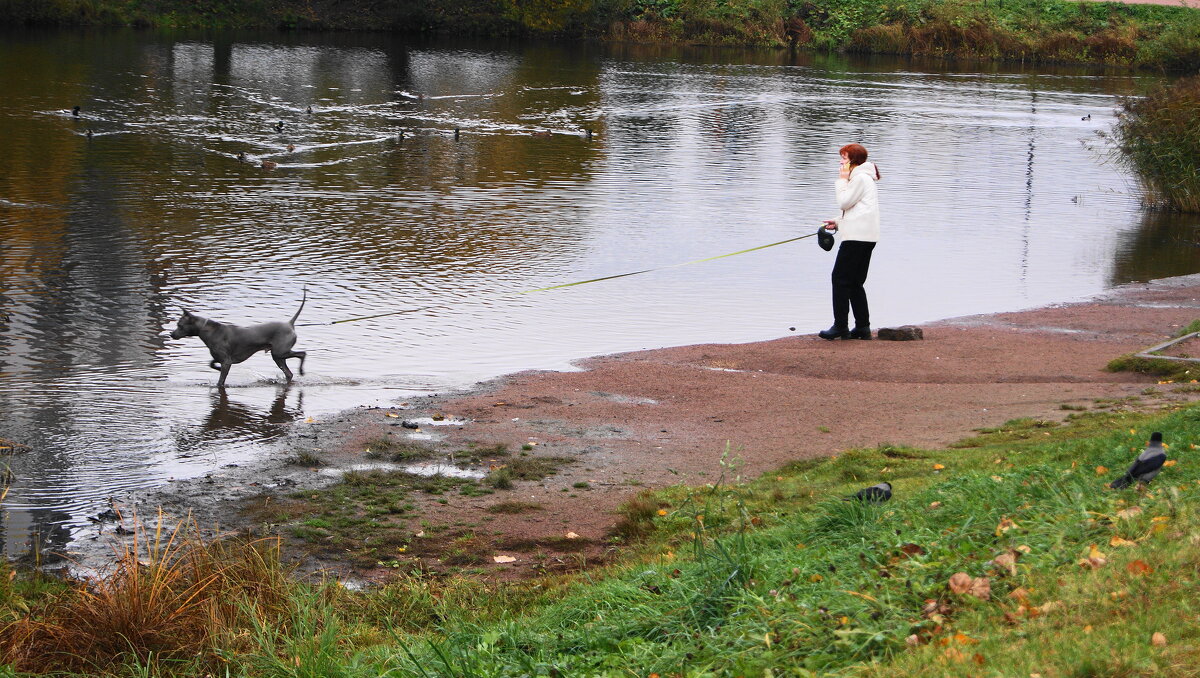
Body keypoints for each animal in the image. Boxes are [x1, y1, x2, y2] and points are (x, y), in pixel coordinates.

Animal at [170, 289, 309, 388]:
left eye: (179, 325)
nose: (171, 334)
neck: (209, 331)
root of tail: (290, 323)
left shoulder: (226, 361)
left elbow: (220, 381)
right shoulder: (221, 359)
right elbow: (211, 364)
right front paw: (217, 368)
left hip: (279, 353)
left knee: (302, 354)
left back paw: (302, 371)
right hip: (278, 357)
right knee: (289, 373)